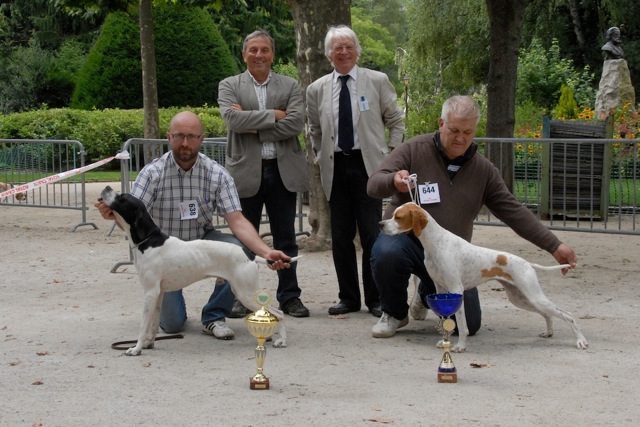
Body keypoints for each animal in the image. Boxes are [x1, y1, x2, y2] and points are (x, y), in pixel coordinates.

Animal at [100, 186, 290, 356]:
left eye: (122, 198)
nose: (107, 187)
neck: (149, 241)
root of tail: (249, 254)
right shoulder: (157, 294)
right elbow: (152, 325)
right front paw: (148, 344)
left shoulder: (149, 293)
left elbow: (142, 326)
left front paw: (136, 348)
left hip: (246, 293)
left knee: (279, 314)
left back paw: (282, 341)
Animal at [380, 202, 592, 352]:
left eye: (398, 217)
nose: (381, 224)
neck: (435, 243)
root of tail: (526, 263)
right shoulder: (441, 290)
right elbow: (445, 319)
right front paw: (444, 340)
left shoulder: (456, 290)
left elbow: (461, 323)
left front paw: (460, 346)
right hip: (521, 298)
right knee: (548, 314)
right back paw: (549, 332)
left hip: (533, 296)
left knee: (567, 314)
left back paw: (580, 341)